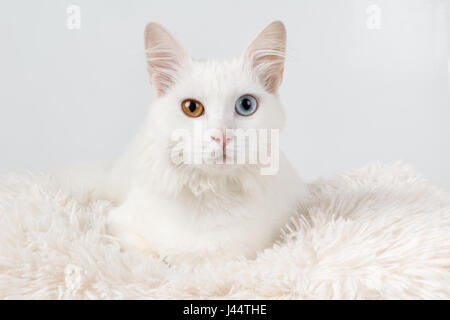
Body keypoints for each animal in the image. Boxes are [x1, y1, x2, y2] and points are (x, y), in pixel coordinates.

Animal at [105, 20, 310, 264]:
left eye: (246, 105)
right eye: (191, 108)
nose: (221, 136)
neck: (212, 193)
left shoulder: (273, 235)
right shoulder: (120, 224)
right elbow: (147, 256)